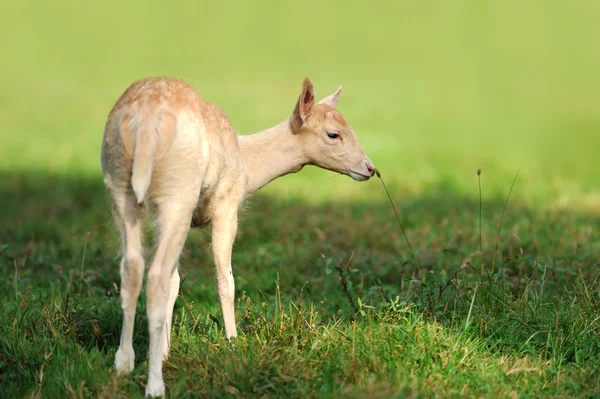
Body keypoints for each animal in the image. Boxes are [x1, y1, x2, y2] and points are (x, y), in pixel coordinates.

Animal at [102, 76, 376, 396]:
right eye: (334, 134)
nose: (370, 168)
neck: (247, 166)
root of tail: (144, 126)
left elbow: (176, 281)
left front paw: (166, 352)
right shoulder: (226, 203)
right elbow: (225, 279)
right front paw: (232, 345)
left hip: (119, 184)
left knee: (132, 268)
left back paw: (123, 365)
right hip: (177, 190)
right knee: (155, 275)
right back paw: (155, 385)